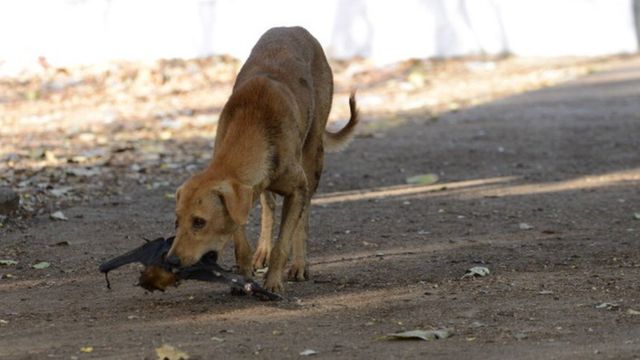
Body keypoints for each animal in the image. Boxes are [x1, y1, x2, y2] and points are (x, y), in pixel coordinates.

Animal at [169, 26, 360, 292]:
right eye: (177, 221)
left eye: (199, 222)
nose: (171, 261)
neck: (252, 123)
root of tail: (295, 28)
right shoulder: (243, 193)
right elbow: (240, 239)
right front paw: (245, 274)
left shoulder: (297, 189)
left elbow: (284, 241)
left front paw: (273, 282)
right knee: (269, 208)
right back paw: (263, 252)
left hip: (313, 158)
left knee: (304, 215)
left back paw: (299, 264)